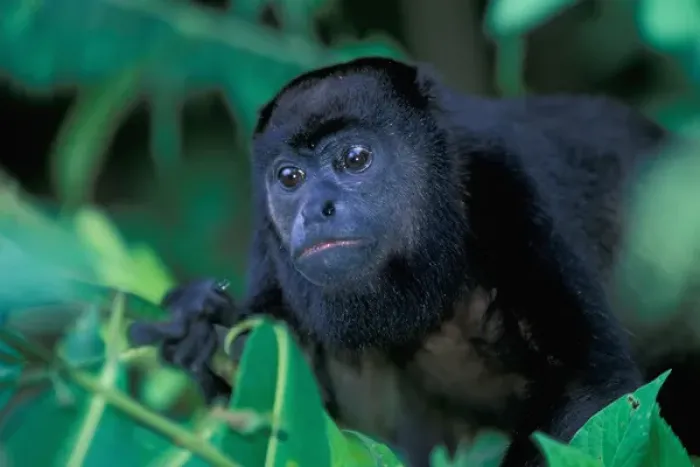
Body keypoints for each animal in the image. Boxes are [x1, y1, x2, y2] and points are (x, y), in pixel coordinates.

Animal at [128, 57, 672, 466]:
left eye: (355, 158)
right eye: (289, 177)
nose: (315, 208)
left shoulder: (508, 185)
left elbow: (591, 387)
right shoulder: (268, 246)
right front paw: (198, 324)